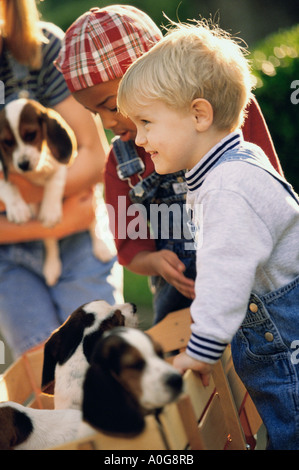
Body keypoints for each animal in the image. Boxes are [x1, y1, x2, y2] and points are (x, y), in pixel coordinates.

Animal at [0, 97, 115, 284]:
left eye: (31, 135)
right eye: (7, 142)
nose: (23, 164)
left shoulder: (62, 165)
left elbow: (54, 182)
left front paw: (50, 210)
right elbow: (5, 184)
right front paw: (17, 208)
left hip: (93, 195)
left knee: (94, 221)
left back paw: (102, 247)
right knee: (50, 240)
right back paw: (51, 267)